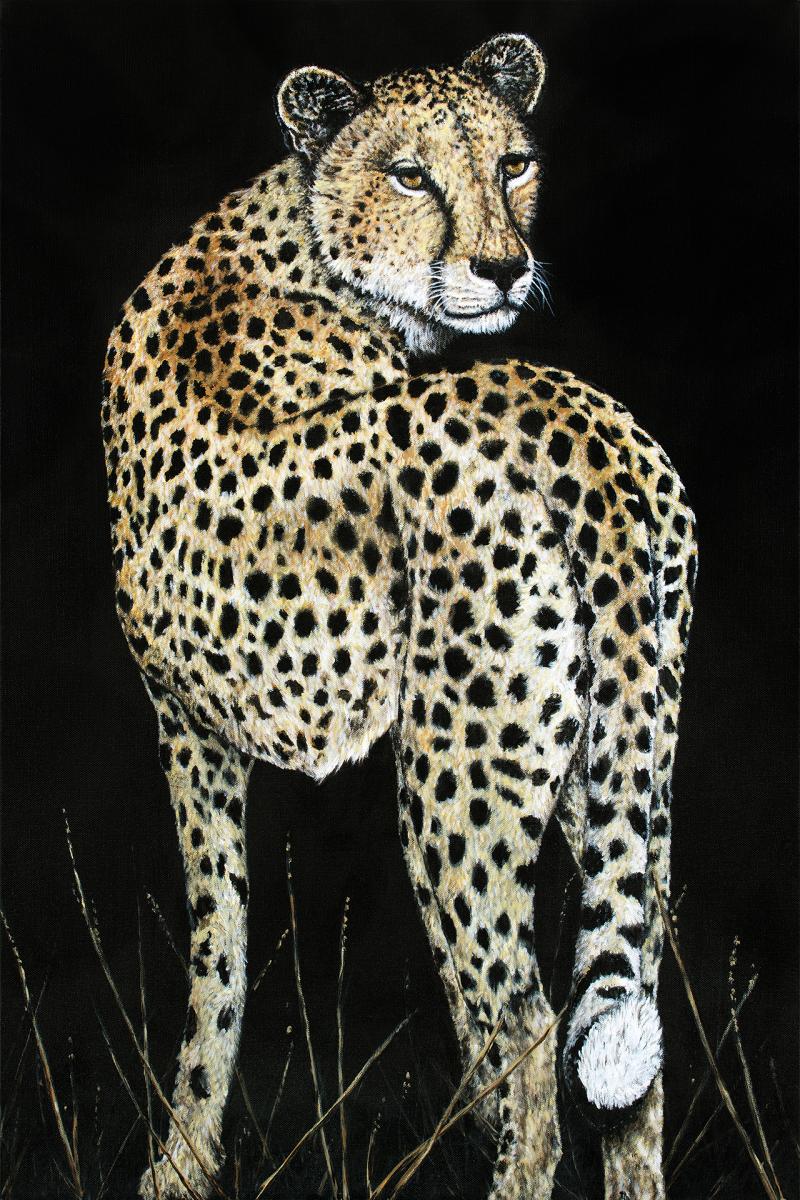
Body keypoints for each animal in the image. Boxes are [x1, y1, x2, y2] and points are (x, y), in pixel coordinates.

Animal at [101, 32, 697, 1200]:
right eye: (410, 174)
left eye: (513, 163)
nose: (504, 268)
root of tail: (563, 401)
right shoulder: (192, 722)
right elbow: (219, 955)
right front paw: (180, 1166)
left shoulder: (186, 725)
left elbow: (218, 951)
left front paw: (178, 1163)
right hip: (620, 759)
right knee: (628, 1001)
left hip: (455, 782)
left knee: (524, 1020)